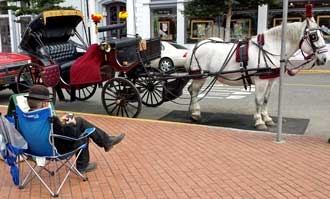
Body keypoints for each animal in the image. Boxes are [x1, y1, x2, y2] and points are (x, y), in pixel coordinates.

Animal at [186, 16, 328, 129]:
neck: (271, 48)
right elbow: (259, 100)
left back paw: (193, 112)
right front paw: (259, 121)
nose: (324, 59)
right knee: (194, 91)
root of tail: (197, 46)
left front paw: (267, 119)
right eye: (314, 36)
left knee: (191, 90)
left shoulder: (271, 80)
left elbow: (266, 99)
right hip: (200, 76)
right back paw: (195, 113)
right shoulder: (261, 81)